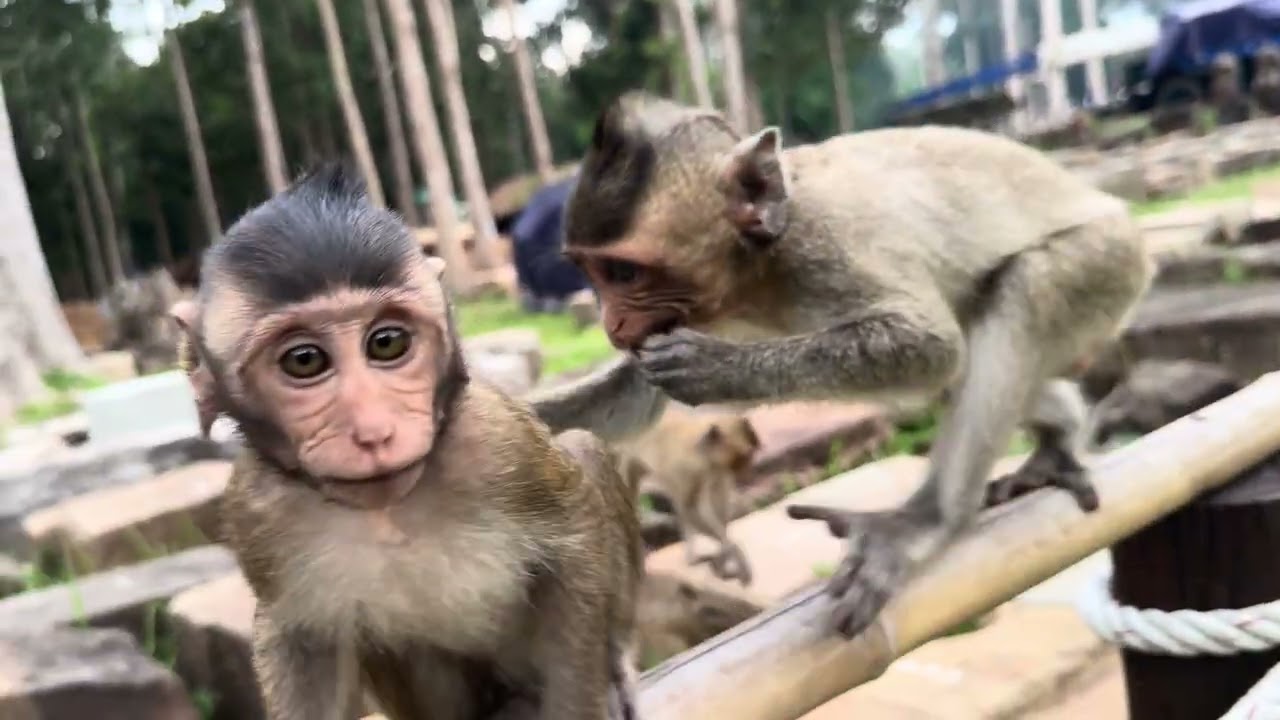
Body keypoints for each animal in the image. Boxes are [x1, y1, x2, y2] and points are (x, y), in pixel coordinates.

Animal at [170, 164, 643, 720]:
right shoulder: (256, 510)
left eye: (387, 343)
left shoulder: (499, 442)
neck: (390, 512)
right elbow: (302, 642)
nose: (374, 430)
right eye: (304, 360)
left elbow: (574, 542)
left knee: (583, 449)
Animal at [617, 407, 760, 585]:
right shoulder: (691, 469)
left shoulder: (715, 472)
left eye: (747, 456)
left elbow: (716, 507)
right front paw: (732, 551)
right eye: (740, 459)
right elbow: (691, 509)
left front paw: (725, 555)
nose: (748, 472)